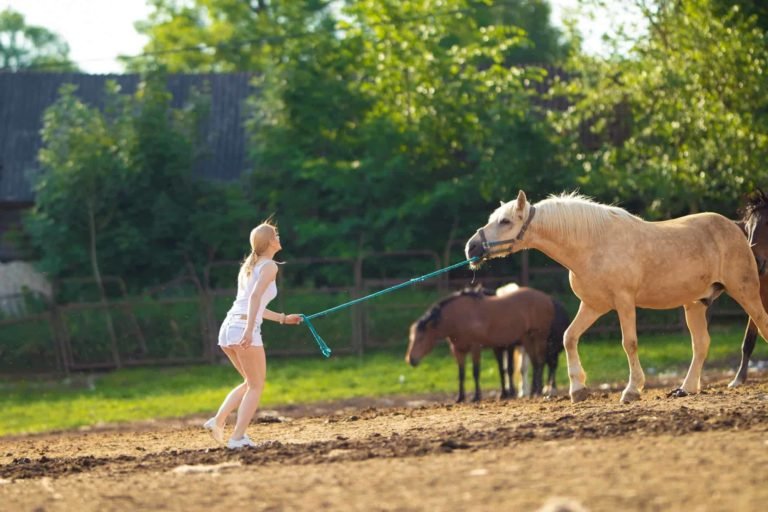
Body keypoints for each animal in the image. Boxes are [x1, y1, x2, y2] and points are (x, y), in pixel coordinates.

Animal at [404, 284, 568, 401]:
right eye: (411, 338)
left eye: (421, 338)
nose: (410, 359)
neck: (457, 317)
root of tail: (548, 299)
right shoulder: (458, 350)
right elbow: (461, 374)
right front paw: (460, 397)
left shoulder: (476, 347)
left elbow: (475, 372)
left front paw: (477, 396)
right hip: (527, 340)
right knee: (536, 363)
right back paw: (535, 390)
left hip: (539, 338)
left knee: (541, 362)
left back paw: (539, 390)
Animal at [465, 190, 768, 404]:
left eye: (505, 221)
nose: (472, 248)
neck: (590, 245)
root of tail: (737, 229)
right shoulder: (593, 305)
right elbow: (569, 337)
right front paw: (578, 389)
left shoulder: (624, 302)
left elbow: (629, 343)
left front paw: (632, 390)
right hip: (695, 304)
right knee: (701, 344)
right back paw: (686, 388)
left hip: (746, 292)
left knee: (761, 325)